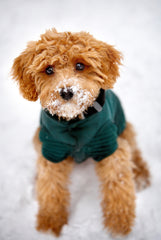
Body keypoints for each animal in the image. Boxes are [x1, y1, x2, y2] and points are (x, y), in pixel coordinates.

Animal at [11, 28, 151, 236]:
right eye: (48, 69)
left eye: (80, 65)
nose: (66, 92)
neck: (74, 122)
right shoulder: (52, 149)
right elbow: (50, 187)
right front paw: (49, 225)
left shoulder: (108, 145)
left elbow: (118, 186)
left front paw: (119, 226)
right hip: (38, 138)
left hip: (123, 129)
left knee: (134, 152)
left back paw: (141, 176)